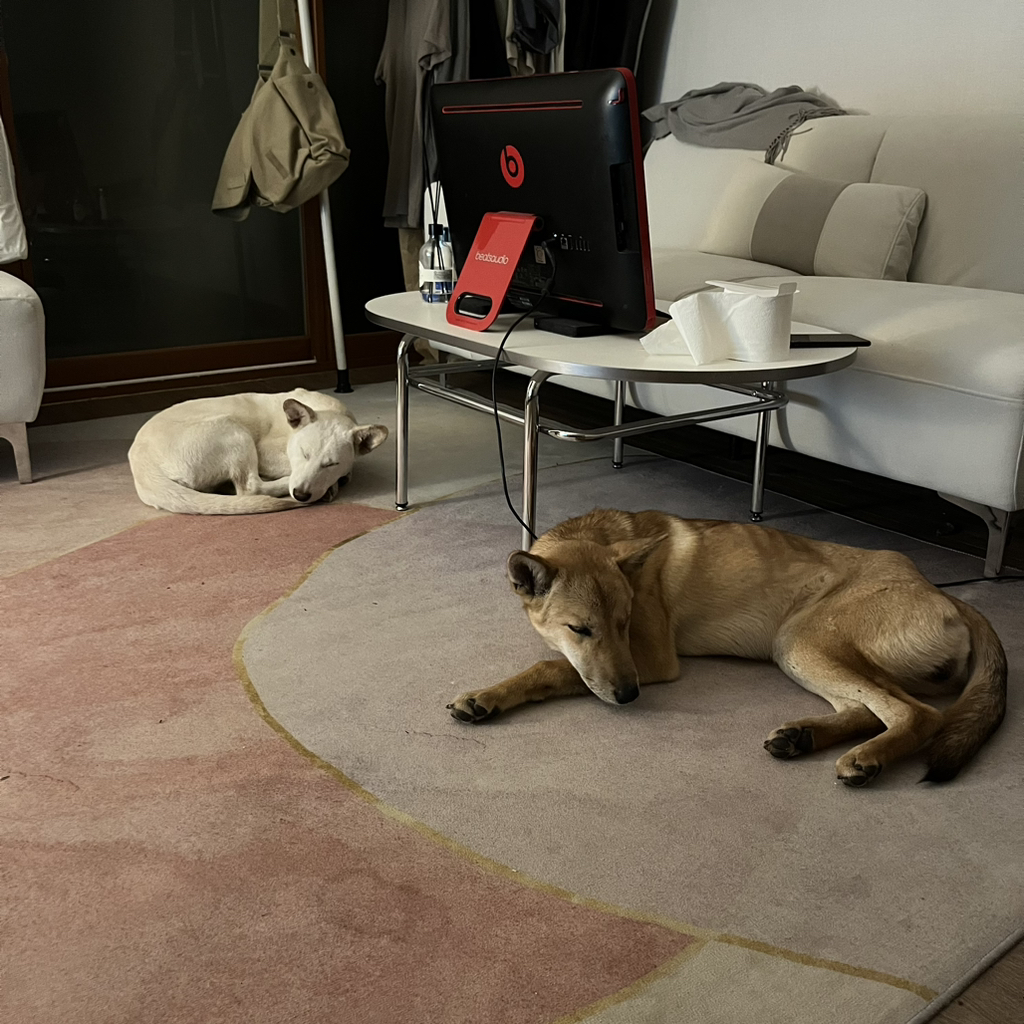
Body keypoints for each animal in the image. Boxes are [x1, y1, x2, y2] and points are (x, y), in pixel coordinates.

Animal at [128, 388, 388, 514]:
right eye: (303, 453)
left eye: (331, 464)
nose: (301, 495)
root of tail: (143, 469)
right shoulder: (265, 452)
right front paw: (332, 484)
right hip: (233, 431)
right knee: (250, 487)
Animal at [447, 508, 1007, 787]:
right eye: (581, 629)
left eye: (624, 624)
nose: (630, 697)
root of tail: (944, 592)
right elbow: (560, 663)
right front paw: (488, 697)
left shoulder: (651, 659)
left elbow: (547, 666)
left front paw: (487, 694)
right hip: (798, 652)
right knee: (867, 708)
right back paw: (803, 736)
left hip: (803, 639)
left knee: (916, 714)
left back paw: (867, 757)